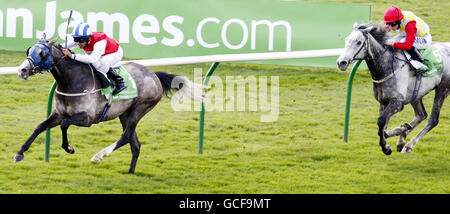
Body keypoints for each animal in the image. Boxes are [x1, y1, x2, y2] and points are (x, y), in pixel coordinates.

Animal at [12, 34, 206, 172]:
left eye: (42, 53)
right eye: (29, 50)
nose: (22, 70)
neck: (71, 80)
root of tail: (154, 75)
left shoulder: (87, 118)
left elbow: (65, 125)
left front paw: (69, 148)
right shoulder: (59, 113)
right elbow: (40, 127)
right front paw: (19, 153)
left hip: (140, 108)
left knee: (126, 137)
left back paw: (99, 155)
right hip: (125, 114)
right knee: (135, 144)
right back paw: (130, 173)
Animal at [338, 23, 450, 155]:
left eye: (359, 42)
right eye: (346, 40)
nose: (341, 62)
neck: (386, 66)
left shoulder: (397, 102)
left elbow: (381, 121)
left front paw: (386, 147)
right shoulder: (383, 101)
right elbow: (383, 127)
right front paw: (399, 130)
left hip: (442, 89)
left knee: (433, 120)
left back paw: (408, 145)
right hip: (416, 94)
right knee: (421, 115)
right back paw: (402, 137)